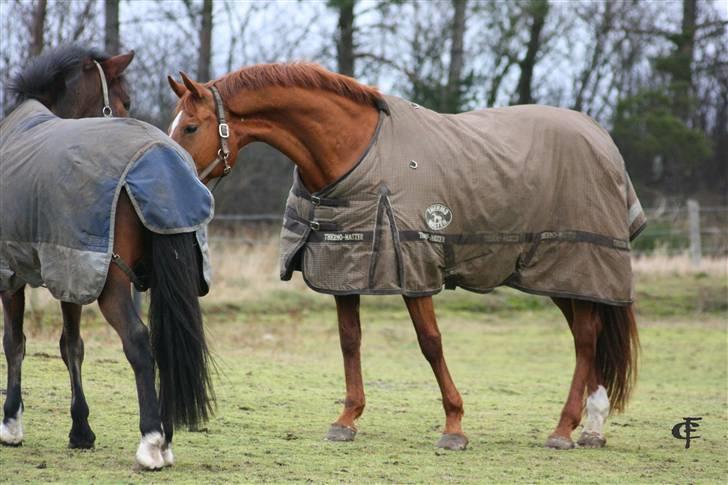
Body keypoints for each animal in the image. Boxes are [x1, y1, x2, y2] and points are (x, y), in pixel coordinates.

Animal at [1, 45, 213, 468]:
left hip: (113, 283)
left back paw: (151, 442)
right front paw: (80, 430)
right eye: (127, 99)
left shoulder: (15, 271)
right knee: (163, 344)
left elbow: (14, 342)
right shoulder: (70, 267)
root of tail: (162, 161)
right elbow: (71, 346)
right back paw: (166, 439)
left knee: (138, 341)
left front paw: (11, 424)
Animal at [169, 63, 636, 450]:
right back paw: (591, 429)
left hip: (577, 264)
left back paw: (563, 430)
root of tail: (603, 141)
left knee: (585, 339)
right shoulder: (344, 268)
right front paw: (346, 420)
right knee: (588, 336)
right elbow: (350, 340)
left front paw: (454, 427)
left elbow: (431, 343)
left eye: (190, 127)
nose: (177, 182)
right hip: (564, 276)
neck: (354, 153)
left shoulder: (414, 269)